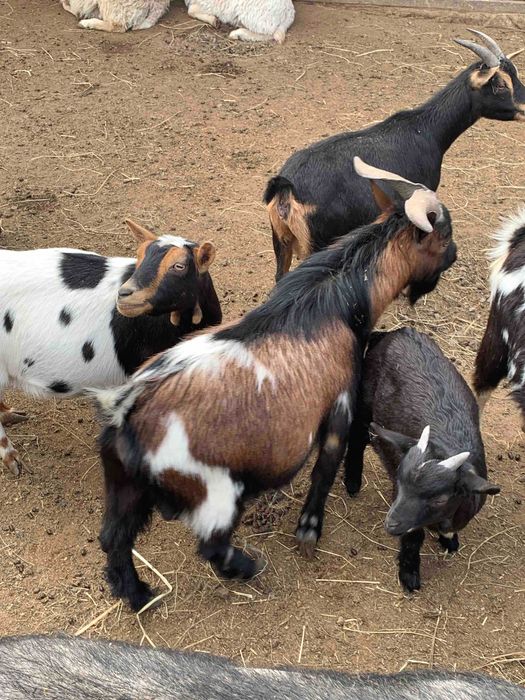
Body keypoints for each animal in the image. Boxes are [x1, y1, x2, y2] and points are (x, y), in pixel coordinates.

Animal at [92, 157, 456, 611]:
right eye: (445, 234)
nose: (455, 256)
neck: (334, 300)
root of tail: (130, 415)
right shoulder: (339, 405)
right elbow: (325, 469)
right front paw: (308, 534)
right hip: (214, 490)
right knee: (211, 545)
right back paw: (247, 567)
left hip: (123, 485)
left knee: (113, 539)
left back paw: (139, 594)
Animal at [264, 30, 525, 280]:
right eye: (500, 85)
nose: (524, 106)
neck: (425, 129)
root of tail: (287, 187)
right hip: (318, 243)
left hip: (282, 241)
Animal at [345, 328, 499, 592]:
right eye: (400, 484)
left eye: (440, 499)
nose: (391, 524)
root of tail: (400, 331)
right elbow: (414, 537)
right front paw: (409, 574)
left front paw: (450, 541)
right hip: (364, 399)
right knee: (357, 436)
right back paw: (352, 482)